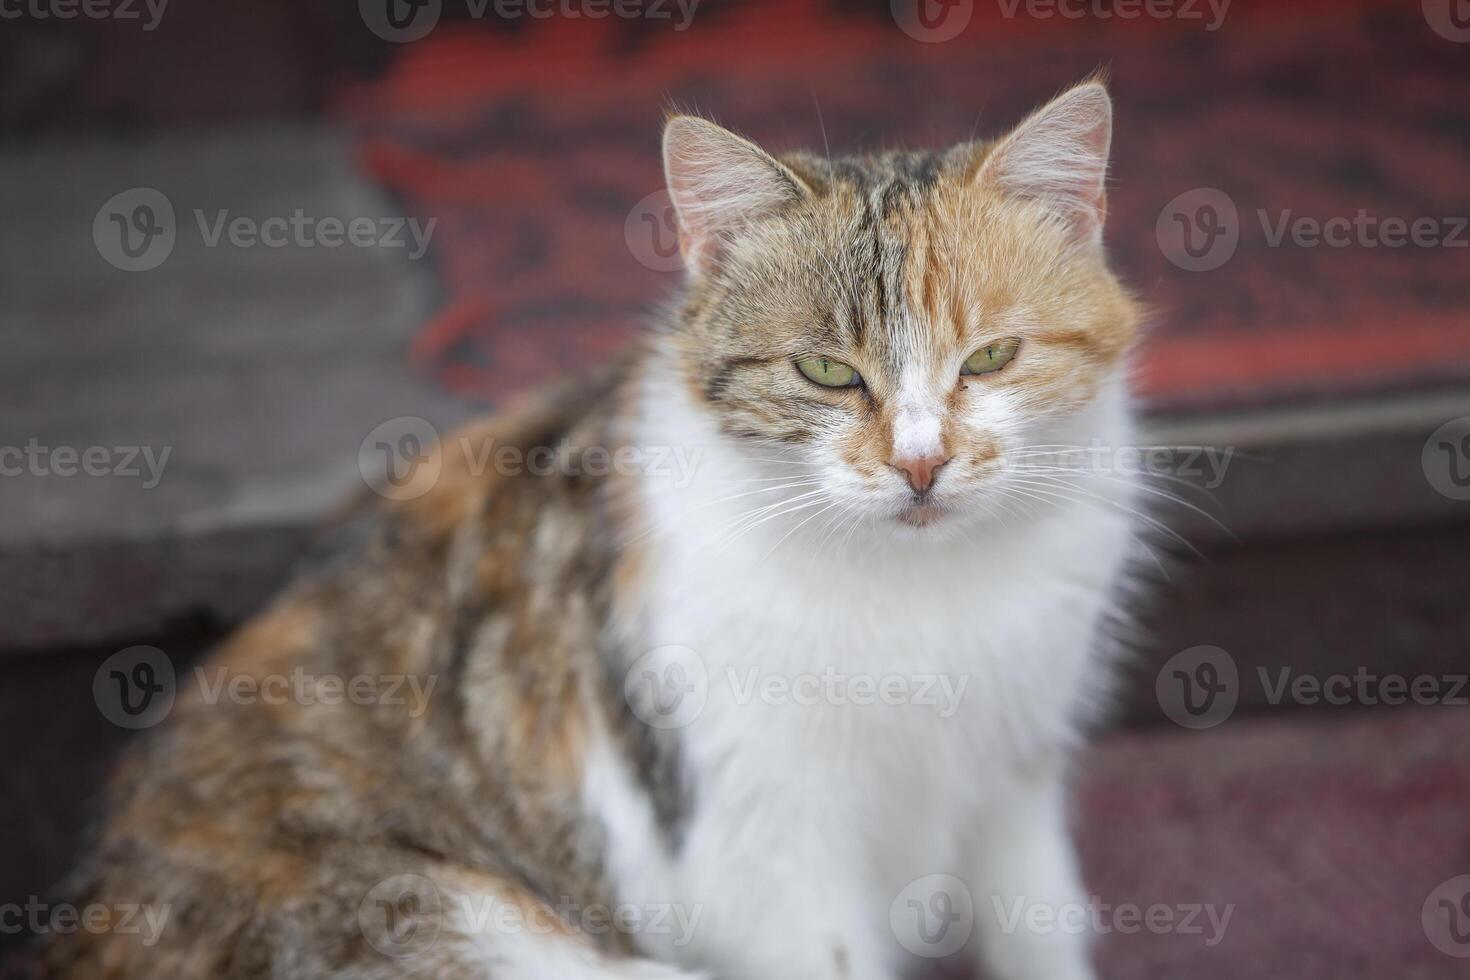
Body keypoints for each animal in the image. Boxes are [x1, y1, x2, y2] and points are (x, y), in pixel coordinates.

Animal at [45, 78, 1140, 980]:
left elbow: (1041, 928)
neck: (925, 591)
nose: (920, 463)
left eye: (991, 357)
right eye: (827, 371)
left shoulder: (1018, 769)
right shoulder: (763, 838)